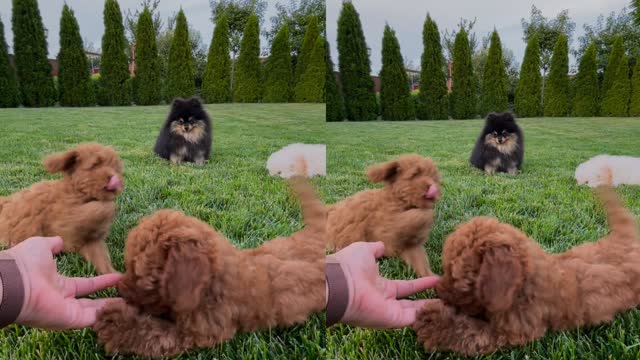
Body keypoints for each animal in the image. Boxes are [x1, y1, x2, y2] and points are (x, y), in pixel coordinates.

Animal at [0, 143, 123, 272]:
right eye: (95, 165)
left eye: (116, 169)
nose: (115, 179)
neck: (78, 193)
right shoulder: (64, 227)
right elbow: (99, 208)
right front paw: (109, 208)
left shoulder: (90, 242)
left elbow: (101, 258)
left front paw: (113, 274)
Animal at [94, 179, 324, 358]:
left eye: (145, 278)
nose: (121, 291)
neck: (208, 287)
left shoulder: (198, 333)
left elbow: (155, 334)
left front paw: (115, 324)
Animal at [412, 187, 636, 356]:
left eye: (461, 281)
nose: (439, 293)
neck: (522, 286)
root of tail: (626, 240)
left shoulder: (513, 331)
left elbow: (471, 332)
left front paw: (433, 322)